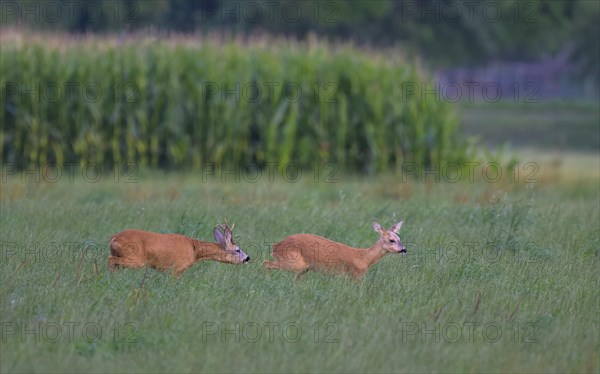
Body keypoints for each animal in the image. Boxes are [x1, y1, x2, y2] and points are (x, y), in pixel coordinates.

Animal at [108, 224, 248, 276]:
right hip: (136, 259)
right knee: (110, 260)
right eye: (237, 250)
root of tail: (114, 238)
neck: (195, 251)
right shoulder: (177, 268)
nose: (248, 258)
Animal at [264, 221, 408, 280]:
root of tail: (276, 246)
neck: (364, 258)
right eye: (391, 240)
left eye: (399, 238)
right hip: (294, 262)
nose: (403, 249)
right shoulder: (356, 274)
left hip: (304, 268)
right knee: (265, 263)